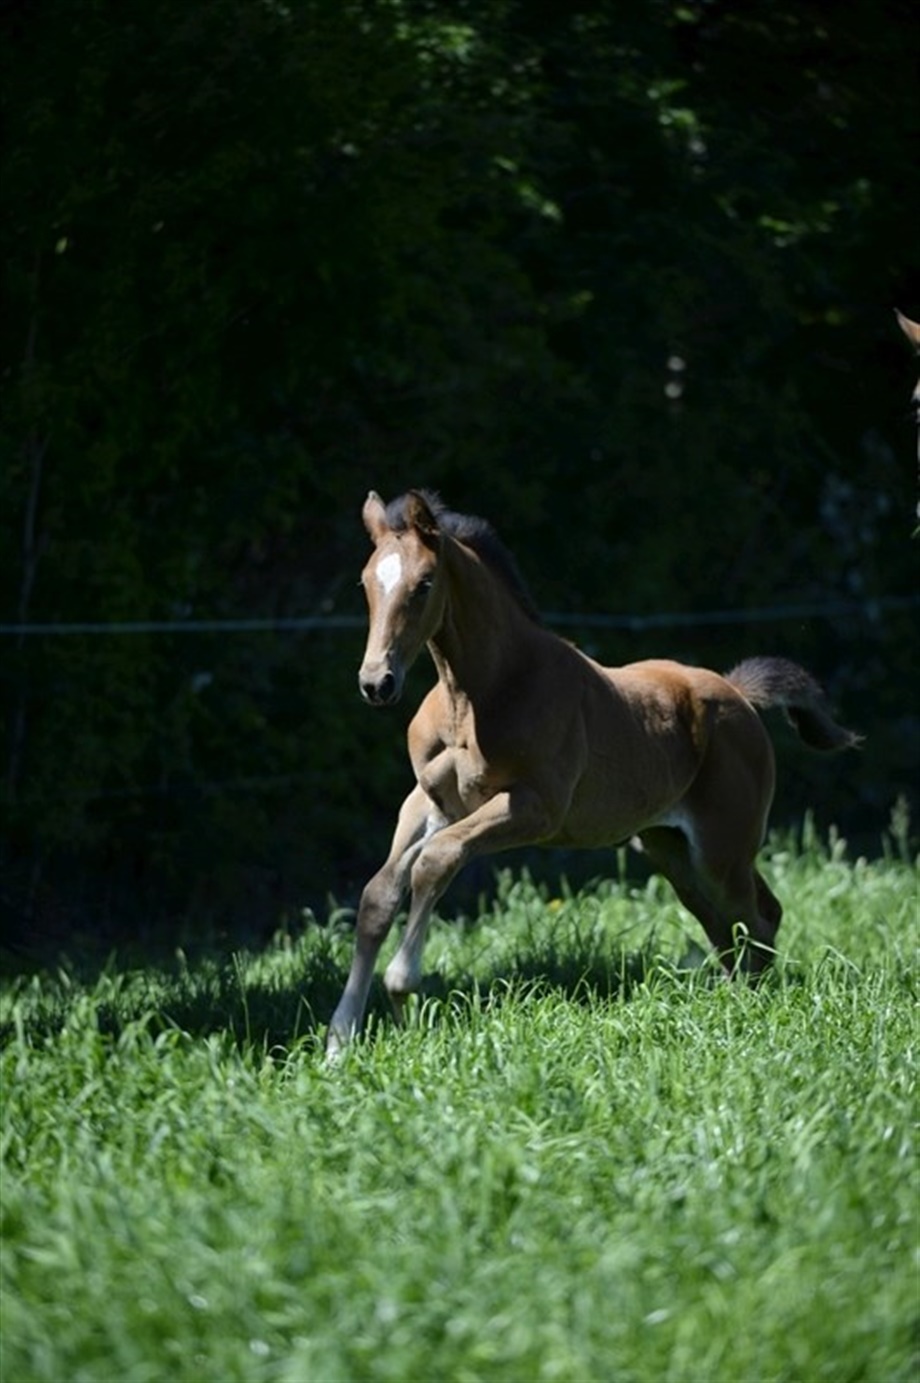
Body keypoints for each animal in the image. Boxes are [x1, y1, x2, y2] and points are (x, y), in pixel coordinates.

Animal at [326, 489, 860, 1055]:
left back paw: (751, 1010)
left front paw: (400, 989)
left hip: (722, 848)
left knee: (754, 918)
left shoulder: (534, 807)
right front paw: (339, 1040)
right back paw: (730, 1001)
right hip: (670, 849)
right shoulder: (429, 802)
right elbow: (377, 895)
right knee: (728, 922)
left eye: (424, 583)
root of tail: (739, 694)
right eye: (366, 582)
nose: (377, 682)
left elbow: (435, 861)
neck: (476, 696)